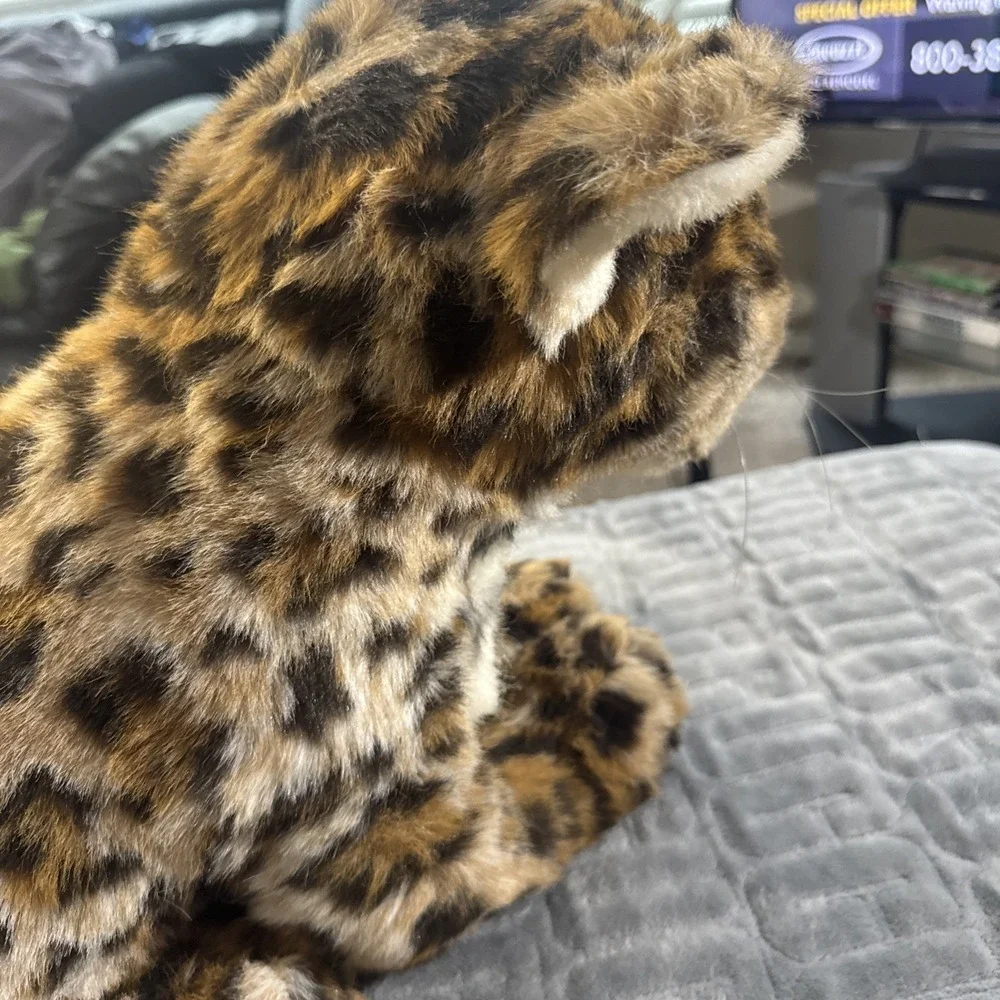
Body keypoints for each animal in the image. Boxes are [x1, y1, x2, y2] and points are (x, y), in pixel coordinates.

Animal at [0, 0, 811, 996]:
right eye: (748, 268)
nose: (789, 293)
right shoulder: (395, 839)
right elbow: (543, 797)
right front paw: (604, 690)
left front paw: (550, 616)